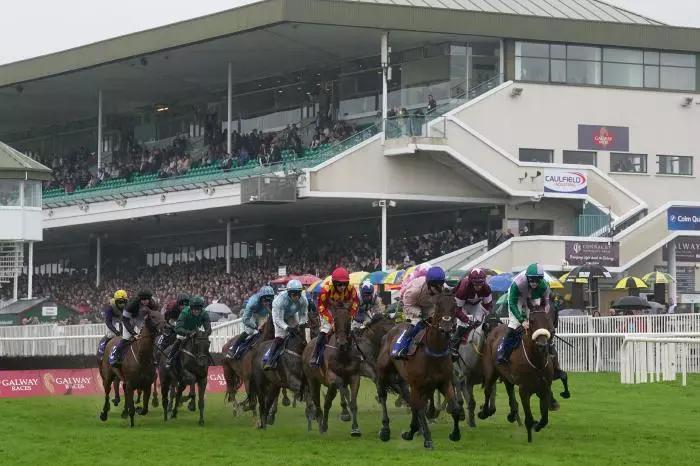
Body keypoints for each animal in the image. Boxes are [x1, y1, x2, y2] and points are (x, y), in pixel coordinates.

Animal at [302, 306, 364, 436]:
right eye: (335, 320)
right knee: (318, 402)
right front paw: (345, 413)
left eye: (349, 320)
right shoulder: (331, 376)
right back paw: (321, 425)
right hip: (313, 381)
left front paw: (355, 428)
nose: (342, 344)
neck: (343, 355)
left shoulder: (355, 377)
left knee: (327, 402)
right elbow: (341, 386)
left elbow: (353, 403)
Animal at [374, 294, 462, 450]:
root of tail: (391, 330)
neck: (434, 351)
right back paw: (385, 430)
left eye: (454, 307)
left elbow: (454, 408)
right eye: (438, 307)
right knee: (383, 395)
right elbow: (420, 408)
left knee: (411, 399)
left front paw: (455, 434)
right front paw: (427, 439)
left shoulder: (444, 383)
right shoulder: (418, 385)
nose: (446, 328)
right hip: (383, 372)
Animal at [478, 302, 556, 444]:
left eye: (548, 319)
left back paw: (512, 414)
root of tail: (495, 330)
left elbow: (545, 418)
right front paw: (530, 438)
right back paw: (484, 412)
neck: (536, 362)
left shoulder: (544, 388)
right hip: (491, 370)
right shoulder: (524, 390)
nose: (542, 346)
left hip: (507, 375)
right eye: (532, 321)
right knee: (488, 390)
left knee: (509, 389)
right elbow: (529, 418)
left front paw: (537, 425)